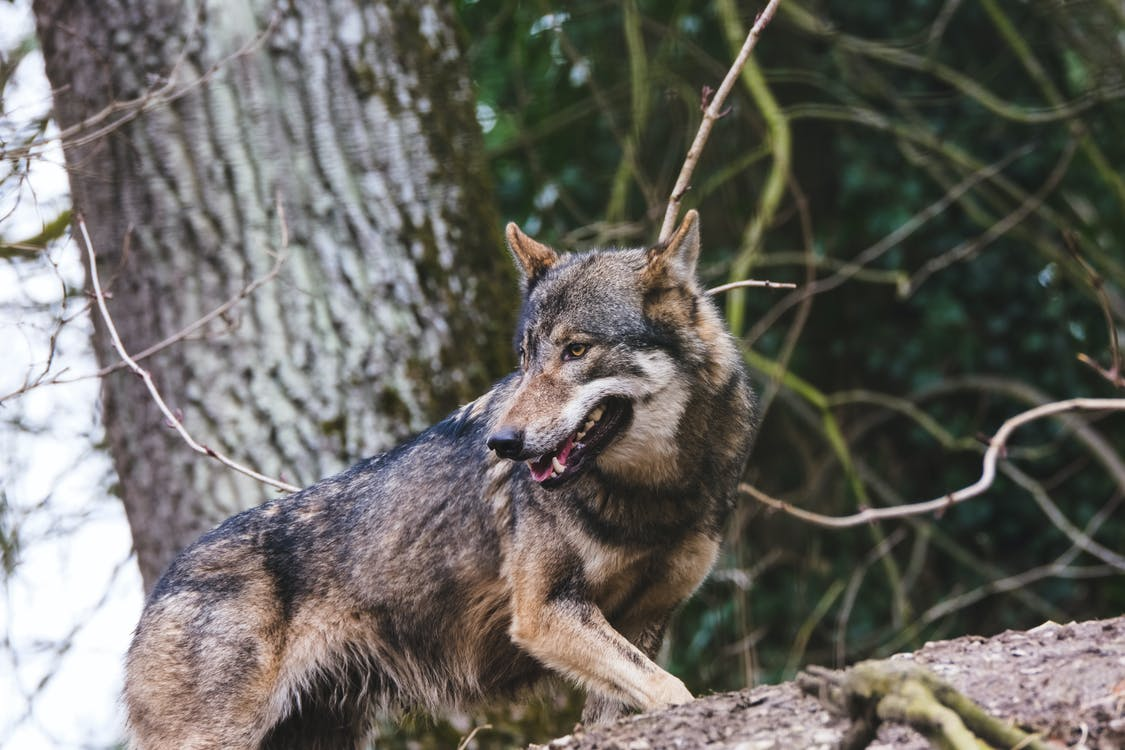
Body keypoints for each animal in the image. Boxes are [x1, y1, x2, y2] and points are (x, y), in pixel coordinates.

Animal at [123, 211, 756, 750]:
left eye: (577, 350)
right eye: (525, 357)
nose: (502, 443)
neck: (654, 493)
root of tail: (160, 587)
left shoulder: (645, 619)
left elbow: (640, 697)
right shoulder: (545, 614)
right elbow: (672, 688)